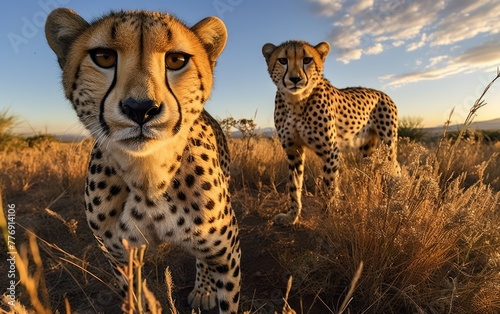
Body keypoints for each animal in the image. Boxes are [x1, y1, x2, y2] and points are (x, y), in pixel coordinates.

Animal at [46, 7, 241, 314]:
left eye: (176, 60)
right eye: (104, 57)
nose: (141, 109)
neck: (149, 177)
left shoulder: (228, 254)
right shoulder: (121, 258)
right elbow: (135, 297)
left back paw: (203, 289)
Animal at [262, 39, 398, 226]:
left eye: (307, 60)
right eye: (283, 60)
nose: (295, 79)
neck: (296, 102)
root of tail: (382, 93)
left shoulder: (330, 151)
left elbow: (329, 186)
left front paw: (328, 219)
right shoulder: (293, 151)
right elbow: (294, 186)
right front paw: (291, 216)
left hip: (388, 146)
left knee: (395, 169)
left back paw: (397, 202)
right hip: (367, 149)